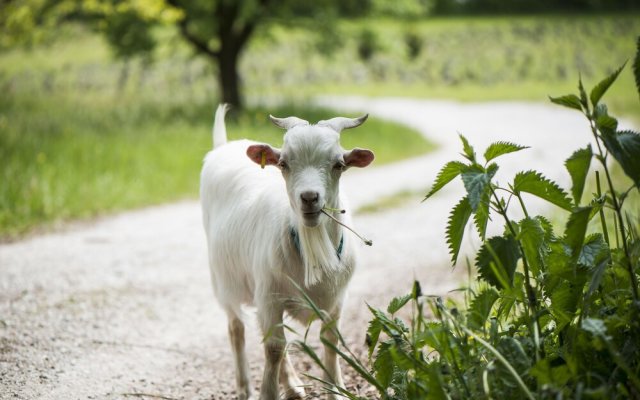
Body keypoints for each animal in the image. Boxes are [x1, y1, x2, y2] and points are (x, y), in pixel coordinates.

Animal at [201, 104, 376, 398]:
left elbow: (330, 341)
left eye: (338, 165)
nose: (309, 198)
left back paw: (293, 386)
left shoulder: (337, 298)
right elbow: (273, 348)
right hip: (223, 280)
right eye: (284, 164)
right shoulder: (269, 296)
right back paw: (245, 387)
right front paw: (267, 392)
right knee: (237, 328)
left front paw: (336, 389)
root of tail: (223, 146)